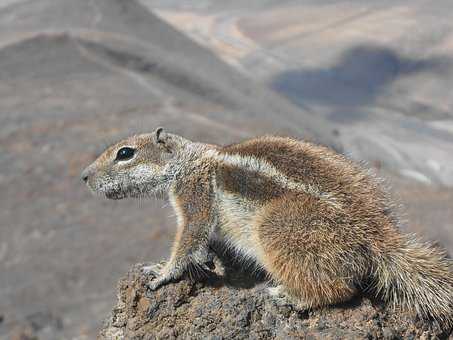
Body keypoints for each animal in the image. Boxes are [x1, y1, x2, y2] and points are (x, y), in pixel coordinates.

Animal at [82, 127, 452, 326]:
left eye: (125, 153)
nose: (84, 177)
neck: (188, 161)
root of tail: (378, 235)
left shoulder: (194, 196)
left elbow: (190, 236)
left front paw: (161, 272)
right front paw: (205, 261)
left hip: (278, 229)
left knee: (340, 290)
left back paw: (290, 298)